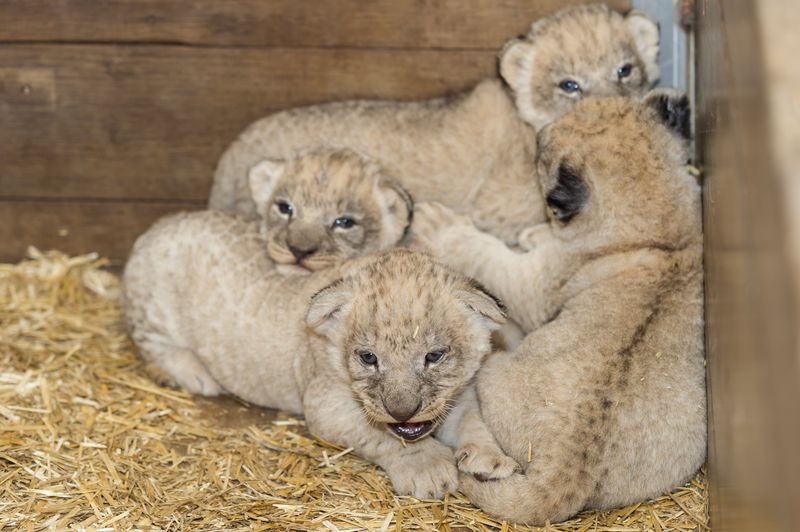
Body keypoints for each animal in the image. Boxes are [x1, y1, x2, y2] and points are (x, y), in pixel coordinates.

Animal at [122, 213, 506, 499]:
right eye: (368, 357)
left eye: (435, 356)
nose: (402, 411)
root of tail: (154, 228)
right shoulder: (324, 405)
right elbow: (379, 435)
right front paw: (426, 467)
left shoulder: (460, 392)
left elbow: (475, 418)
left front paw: (491, 458)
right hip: (151, 307)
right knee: (148, 341)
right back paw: (193, 373)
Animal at [412, 89, 705, 523]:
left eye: (543, 151)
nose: (540, 131)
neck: (662, 223)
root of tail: (564, 471)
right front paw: (534, 232)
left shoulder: (535, 285)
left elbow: (486, 253)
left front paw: (437, 222)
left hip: (493, 369)